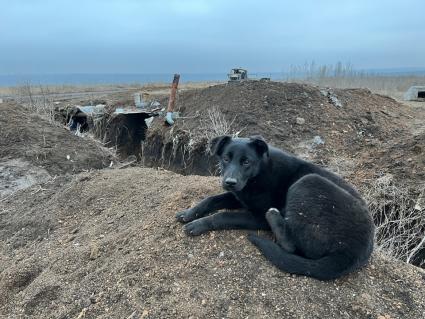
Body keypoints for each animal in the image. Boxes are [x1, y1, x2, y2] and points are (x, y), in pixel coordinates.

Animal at [176, 136, 374, 282]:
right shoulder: (239, 197)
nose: (230, 182)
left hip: (308, 181)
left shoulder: (257, 216)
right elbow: (211, 199)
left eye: (246, 162)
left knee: (291, 247)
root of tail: (352, 253)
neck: (258, 174)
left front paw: (199, 224)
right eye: (226, 159)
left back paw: (274, 216)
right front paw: (189, 213)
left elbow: (223, 216)